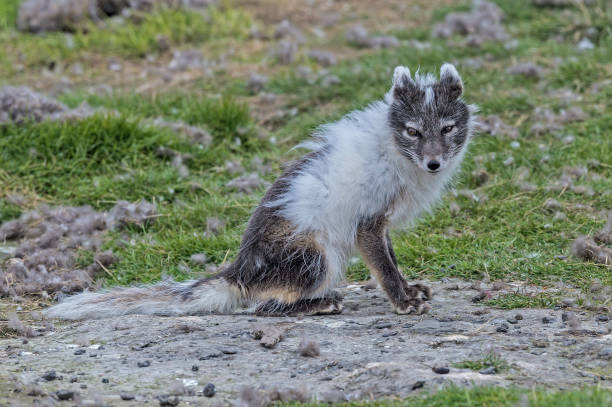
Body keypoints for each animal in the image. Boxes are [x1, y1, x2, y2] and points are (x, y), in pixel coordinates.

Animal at [46, 63, 478, 320]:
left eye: (447, 128)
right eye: (413, 131)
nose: (434, 164)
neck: (394, 151)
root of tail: (240, 272)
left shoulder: (381, 224)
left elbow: (391, 259)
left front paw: (412, 290)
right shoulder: (367, 223)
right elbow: (384, 267)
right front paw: (403, 301)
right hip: (316, 256)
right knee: (264, 307)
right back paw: (323, 303)